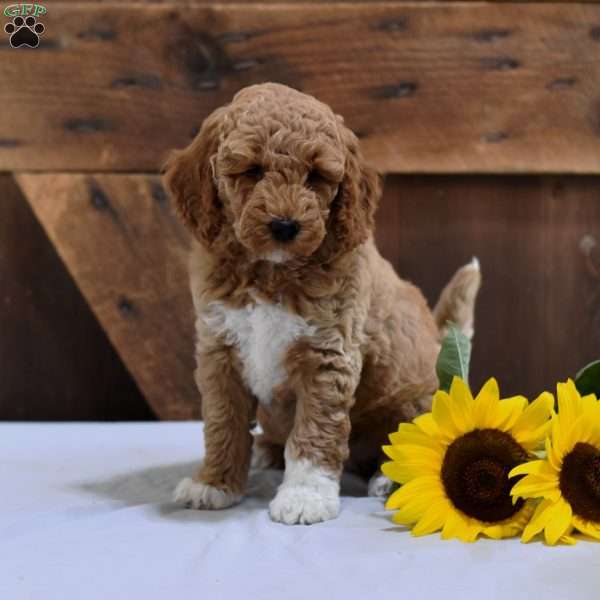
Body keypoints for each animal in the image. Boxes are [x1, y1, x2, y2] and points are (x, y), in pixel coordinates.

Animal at [163, 82, 478, 524]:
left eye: (316, 176)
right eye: (252, 171)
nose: (285, 226)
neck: (270, 271)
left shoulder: (328, 355)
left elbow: (314, 432)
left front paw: (304, 496)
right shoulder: (218, 349)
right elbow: (222, 422)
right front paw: (214, 483)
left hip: (418, 400)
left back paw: (388, 479)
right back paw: (265, 451)